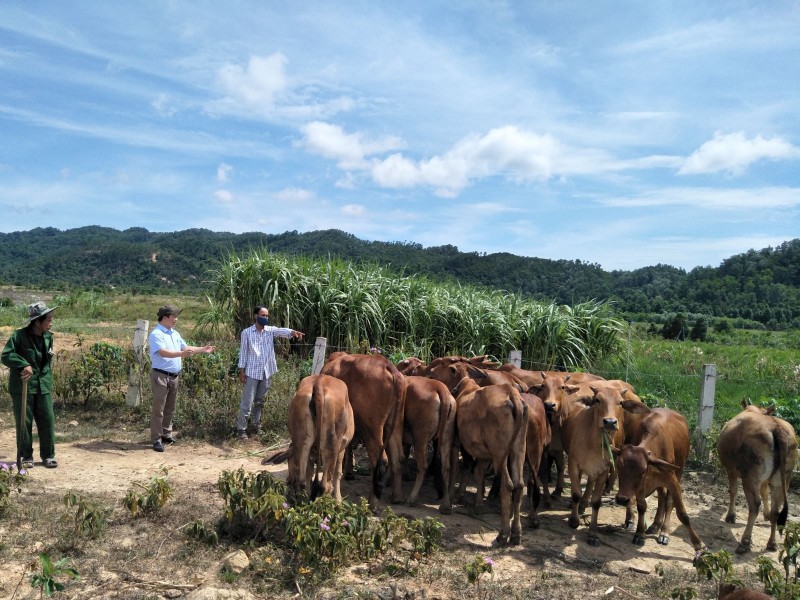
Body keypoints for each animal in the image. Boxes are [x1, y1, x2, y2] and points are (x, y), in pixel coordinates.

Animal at [318, 352, 406, 506]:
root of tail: (388, 366)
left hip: (372, 428)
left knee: (379, 460)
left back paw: (373, 502)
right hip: (395, 425)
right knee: (398, 459)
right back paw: (396, 497)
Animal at [400, 378, 456, 512]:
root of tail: (439, 386)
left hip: (420, 437)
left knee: (423, 465)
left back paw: (412, 499)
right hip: (446, 438)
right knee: (446, 468)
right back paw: (446, 505)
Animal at [428, 364, 528, 548]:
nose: (430, 373)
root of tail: (513, 395)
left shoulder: (457, 441)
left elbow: (454, 468)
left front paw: (450, 499)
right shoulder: (482, 451)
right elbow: (479, 472)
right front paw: (478, 504)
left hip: (499, 450)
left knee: (507, 485)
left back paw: (503, 534)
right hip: (518, 447)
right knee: (519, 485)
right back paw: (516, 534)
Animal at [616, 406, 704, 552]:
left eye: (642, 472)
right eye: (618, 467)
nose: (622, 499)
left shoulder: (671, 479)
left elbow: (682, 513)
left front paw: (698, 544)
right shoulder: (641, 487)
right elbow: (642, 507)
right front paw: (639, 534)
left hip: (679, 471)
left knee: (668, 501)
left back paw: (663, 531)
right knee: (661, 496)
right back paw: (655, 525)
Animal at [716, 398, 796, 552]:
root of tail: (777, 427)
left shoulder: (731, 469)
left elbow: (733, 491)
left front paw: (731, 516)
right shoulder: (764, 480)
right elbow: (764, 492)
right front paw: (766, 515)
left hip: (750, 475)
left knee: (754, 505)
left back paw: (745, 542)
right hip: (783, 477)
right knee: (776, 509)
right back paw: (772, 543)